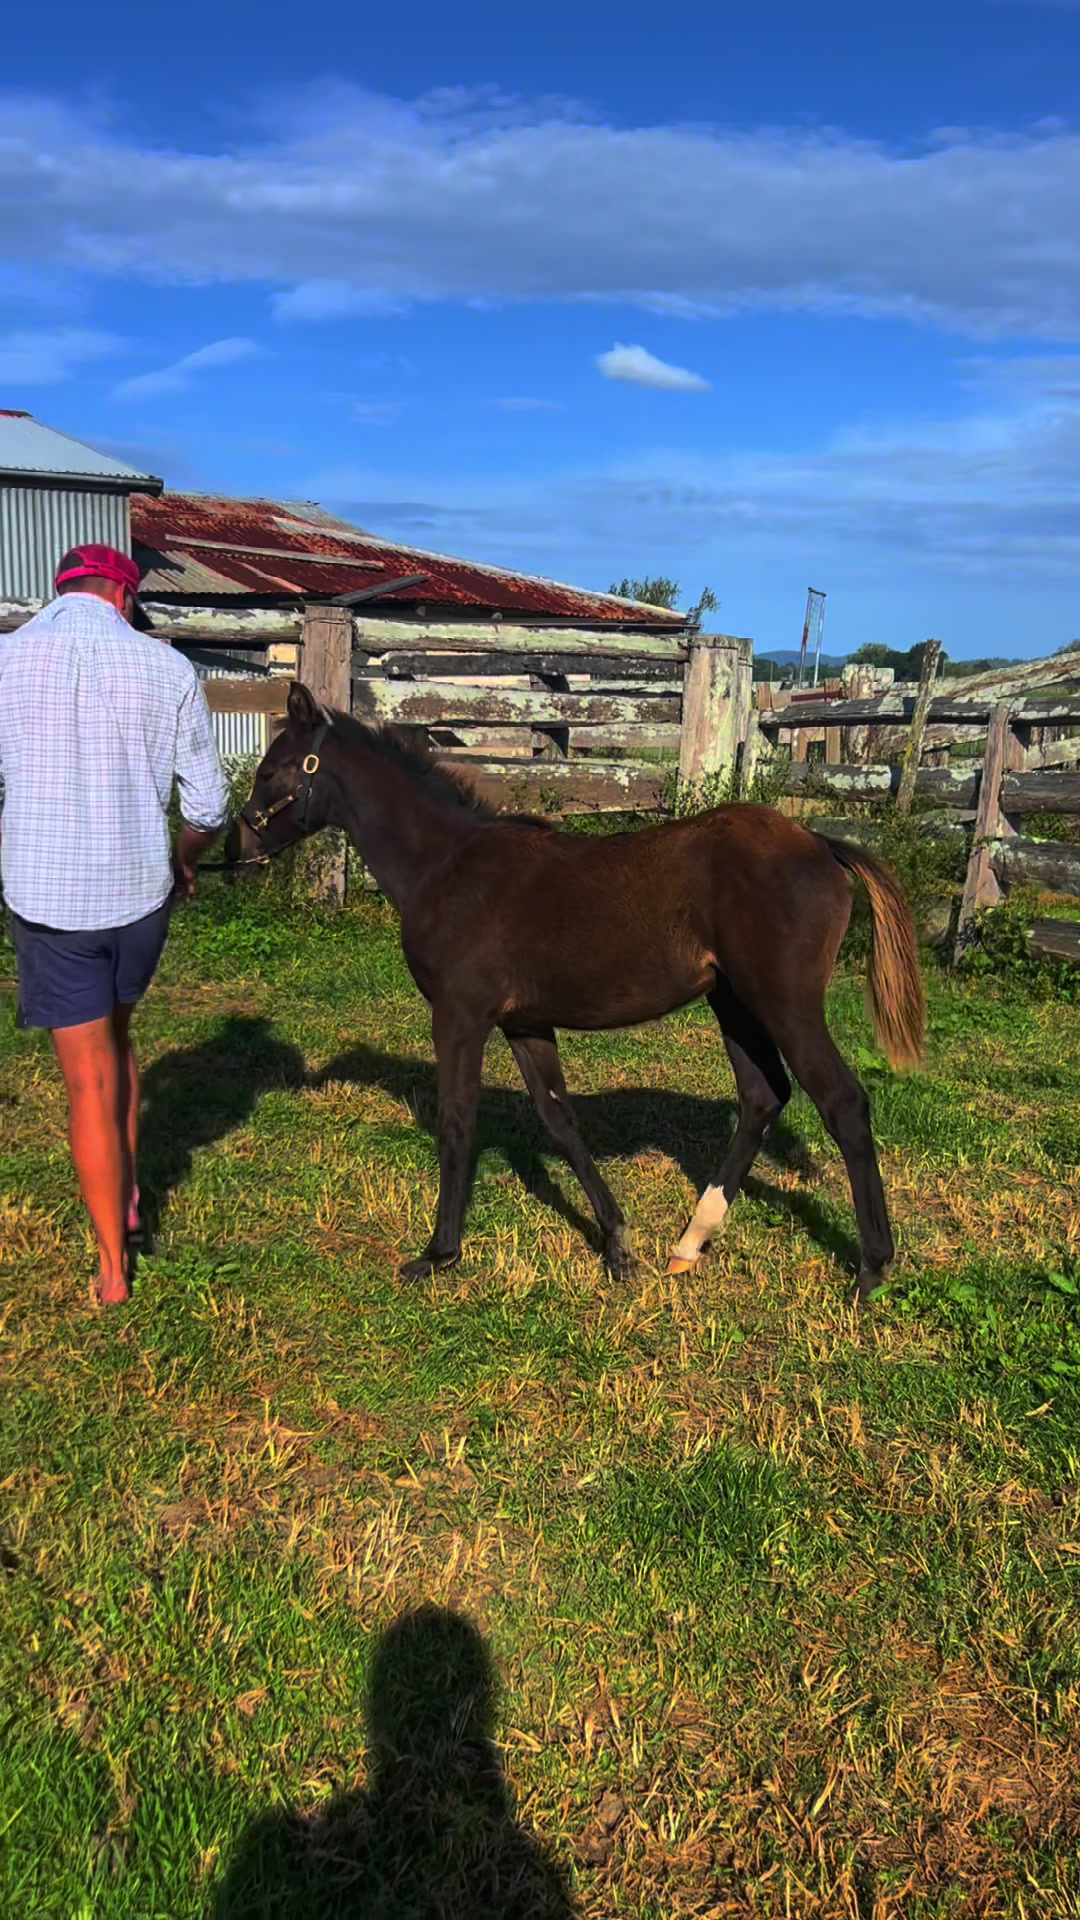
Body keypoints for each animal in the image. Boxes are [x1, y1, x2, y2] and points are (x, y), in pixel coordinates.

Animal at [226, 681, 924, 1302]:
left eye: (273, 769)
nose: (238, 848)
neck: (446, 866)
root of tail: (819, 844)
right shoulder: (524, 1023)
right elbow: (560, 1121)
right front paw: (618, 1248)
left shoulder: (460, 1015)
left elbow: (457, 1120)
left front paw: (438, 1254)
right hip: (733, 1002)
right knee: (762, 1096)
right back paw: (689, 1242)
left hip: (784, 1002)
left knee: (841, 1102)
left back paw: (871, 1268)